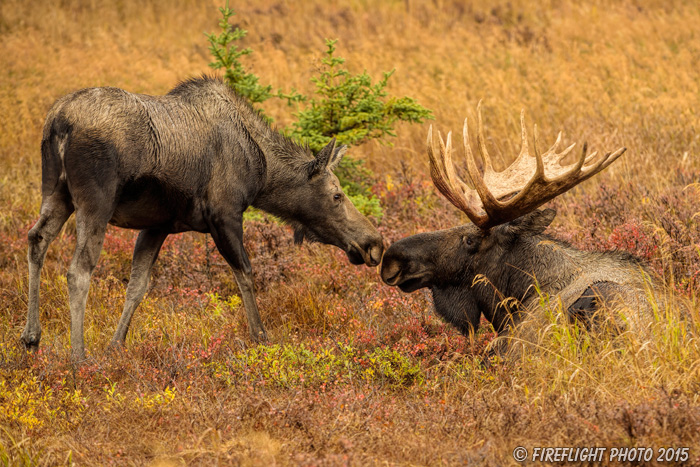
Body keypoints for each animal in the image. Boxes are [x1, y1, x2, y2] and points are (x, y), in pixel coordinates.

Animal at [20, 77, 382, 362]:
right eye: (337, 195)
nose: (374, 243)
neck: (262, 173)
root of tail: (58, 123)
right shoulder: (224, 214)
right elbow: (245, 274)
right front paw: (261, 337)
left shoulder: (157, 226)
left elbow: (137, 286)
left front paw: (116, 346)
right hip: (95, 201)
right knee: (78, 270)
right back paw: (79, 356)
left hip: (56, 192)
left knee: (36, 239)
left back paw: (31, 337)